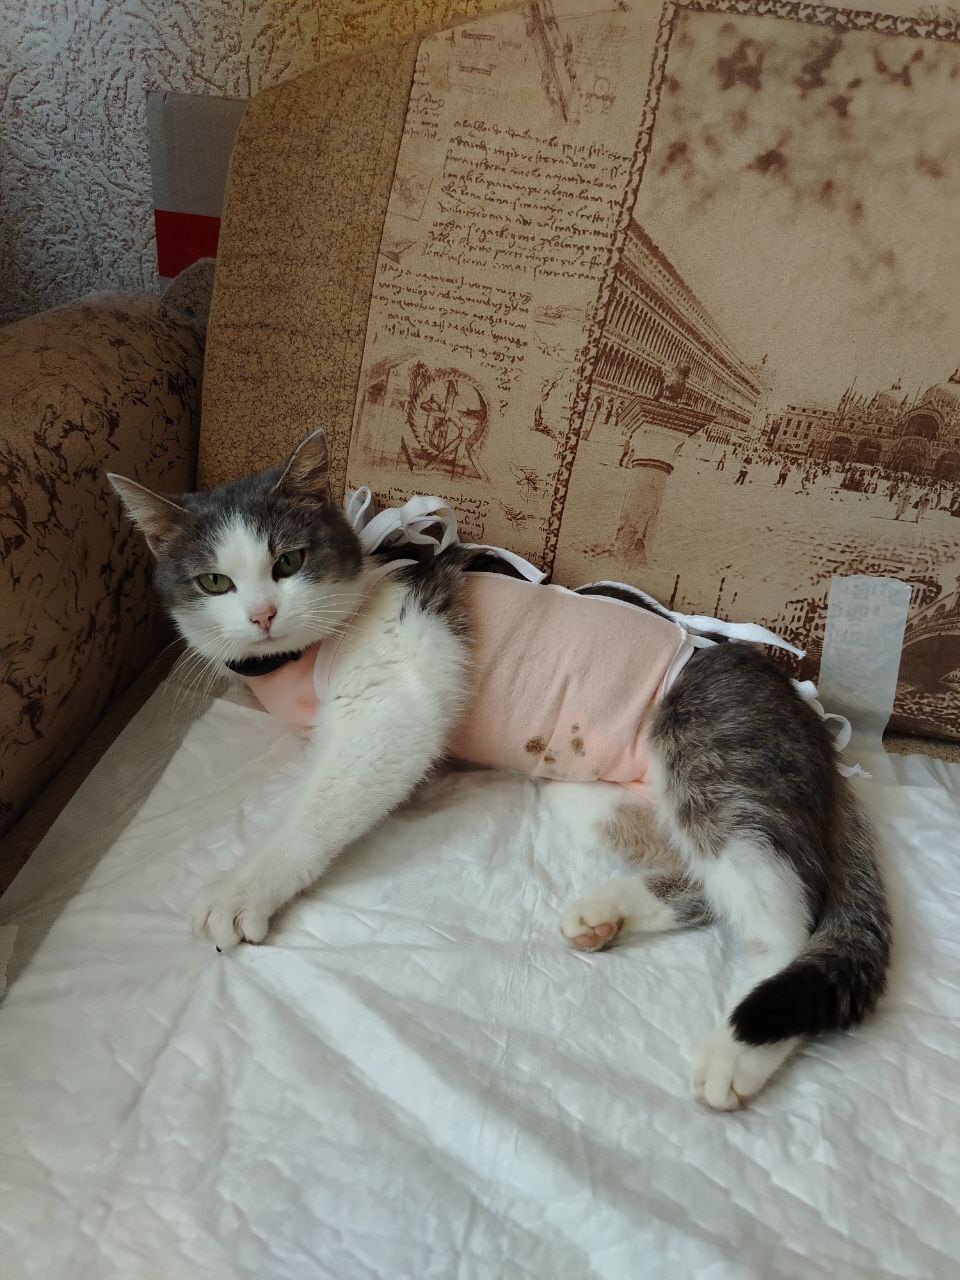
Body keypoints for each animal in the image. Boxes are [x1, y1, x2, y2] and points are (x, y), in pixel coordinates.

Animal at [108, 430, 891, 1111]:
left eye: (289, 562)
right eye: (214, 581)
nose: (264, 614)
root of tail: (809, 721)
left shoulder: (396, 698)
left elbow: (327, 799)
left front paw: (246, 884)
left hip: (713, 757)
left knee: (784, 922)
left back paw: (739, 1050)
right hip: (594, 794)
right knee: (701, 880)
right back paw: (607, 913)